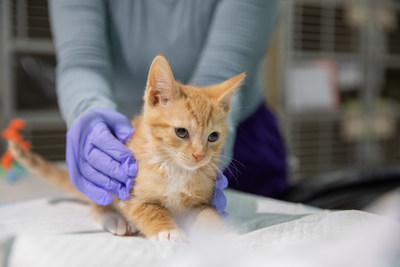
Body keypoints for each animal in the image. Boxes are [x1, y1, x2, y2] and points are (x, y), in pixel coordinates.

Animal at [8, 55, 244, 243]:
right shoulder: (130, 192)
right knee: (98, 204)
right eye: (181, 132)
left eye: (213, 137)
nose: (199, 155)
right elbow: (150, 209)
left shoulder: (200, 201)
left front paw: (223, 236)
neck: (175, 168)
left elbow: (208, 215)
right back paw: (114, 219)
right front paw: (168, 230)